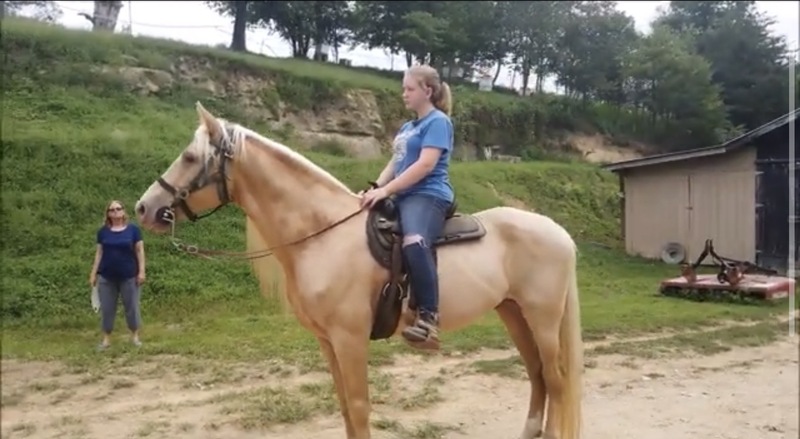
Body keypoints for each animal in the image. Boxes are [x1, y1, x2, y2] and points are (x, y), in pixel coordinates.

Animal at [134, 102, 584, 439]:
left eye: (190, 157)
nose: (143, 208)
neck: (323, 236)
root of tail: (559, 231)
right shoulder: (327, 342)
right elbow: (345, 409)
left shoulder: (349, 339)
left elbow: (358, 406)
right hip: (512, 312)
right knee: (537, 375)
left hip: (543, 319)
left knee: (556, 379)